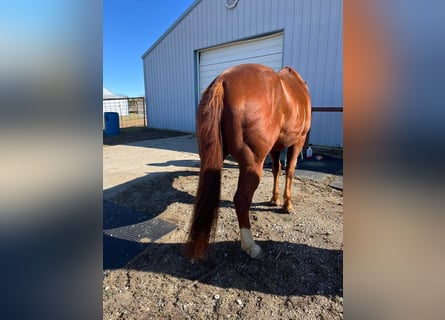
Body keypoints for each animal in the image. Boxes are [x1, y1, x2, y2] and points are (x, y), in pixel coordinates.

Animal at [184, 63, 308, 260]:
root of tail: (222, 80)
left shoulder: (276, 147)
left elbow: (276, 169)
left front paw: (274, 199)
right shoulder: (298, 141)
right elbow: (290, 170)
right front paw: (287, 204)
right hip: (253, 164)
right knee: (241, 199)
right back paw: (251, 246)